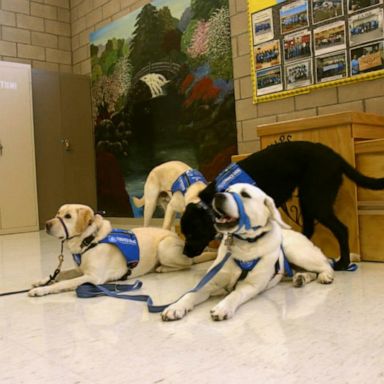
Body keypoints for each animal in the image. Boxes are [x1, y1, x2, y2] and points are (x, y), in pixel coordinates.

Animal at [182, 141, 384, 270]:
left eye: (191, 234)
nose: (184, 253)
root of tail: (335, 156)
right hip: (307, 200)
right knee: (309, 230)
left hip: (316, 202)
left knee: (342, 229)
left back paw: (343, 262)